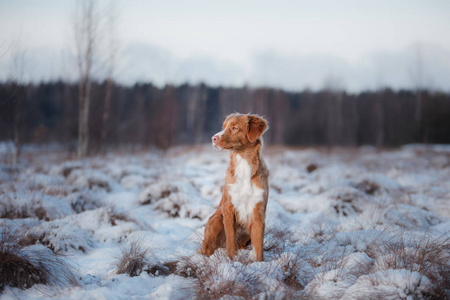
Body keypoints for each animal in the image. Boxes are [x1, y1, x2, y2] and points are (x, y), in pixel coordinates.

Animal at [202, 112, 268, 260]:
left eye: (234, 128)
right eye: (223, 127)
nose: (213, 138)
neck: (244, 163)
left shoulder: (258, 210)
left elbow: (258, 246)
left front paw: (260, 263)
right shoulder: (228, 208)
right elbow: (231, 239)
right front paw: (232, 260)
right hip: (216, 219)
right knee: (206, 248)